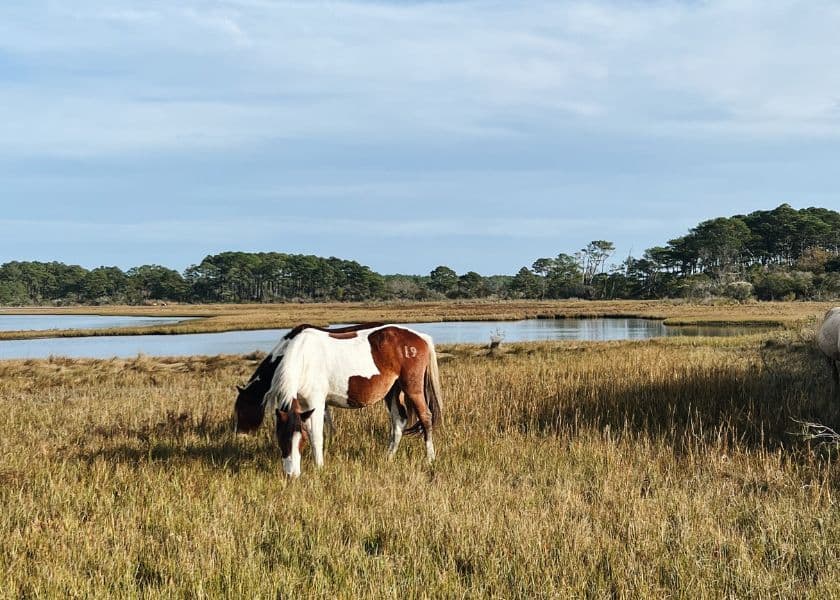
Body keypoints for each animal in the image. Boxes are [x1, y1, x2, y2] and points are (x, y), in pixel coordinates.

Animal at [234, 323, 443, 477]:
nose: (291, 475)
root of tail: (420, 337)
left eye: (242, 409)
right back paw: (388, 457)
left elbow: (317, 435)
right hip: (392, 391)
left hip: (412, 388)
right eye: (280, 438)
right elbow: (318, 429)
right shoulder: (304, 406)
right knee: (399, 421)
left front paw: (319, 466)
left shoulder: (316, 403)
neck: (301, 356)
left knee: (426, 417)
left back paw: (430, 458)